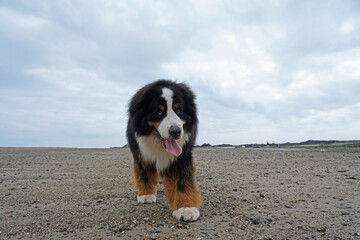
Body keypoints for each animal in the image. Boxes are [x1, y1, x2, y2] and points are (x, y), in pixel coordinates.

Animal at [126, 80, 201, 221]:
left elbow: (182, 181)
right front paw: (146, 194)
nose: (175, 131)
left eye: (179, 110)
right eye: (158, 112)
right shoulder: (141, 153)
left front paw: (186, 207)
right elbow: (144, 174)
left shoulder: (182, 156)